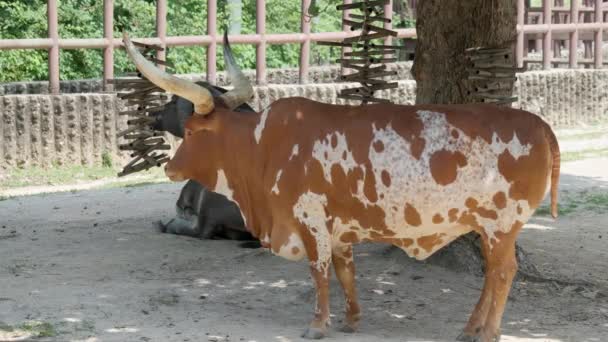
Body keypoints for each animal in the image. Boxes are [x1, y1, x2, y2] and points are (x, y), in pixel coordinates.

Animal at [122, 32, 560, 342]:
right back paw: (470, 329)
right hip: (488, 228)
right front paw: (352, 319)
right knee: (491, 274)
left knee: (502, 273)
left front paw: (318, 324)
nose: (170, 168)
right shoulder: (339, 228)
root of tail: (540, 125)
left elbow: (319, 271)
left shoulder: (309, 219)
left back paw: (487, 332)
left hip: (502, 225)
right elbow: (345, 271)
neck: (262, 146)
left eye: (192, 131)